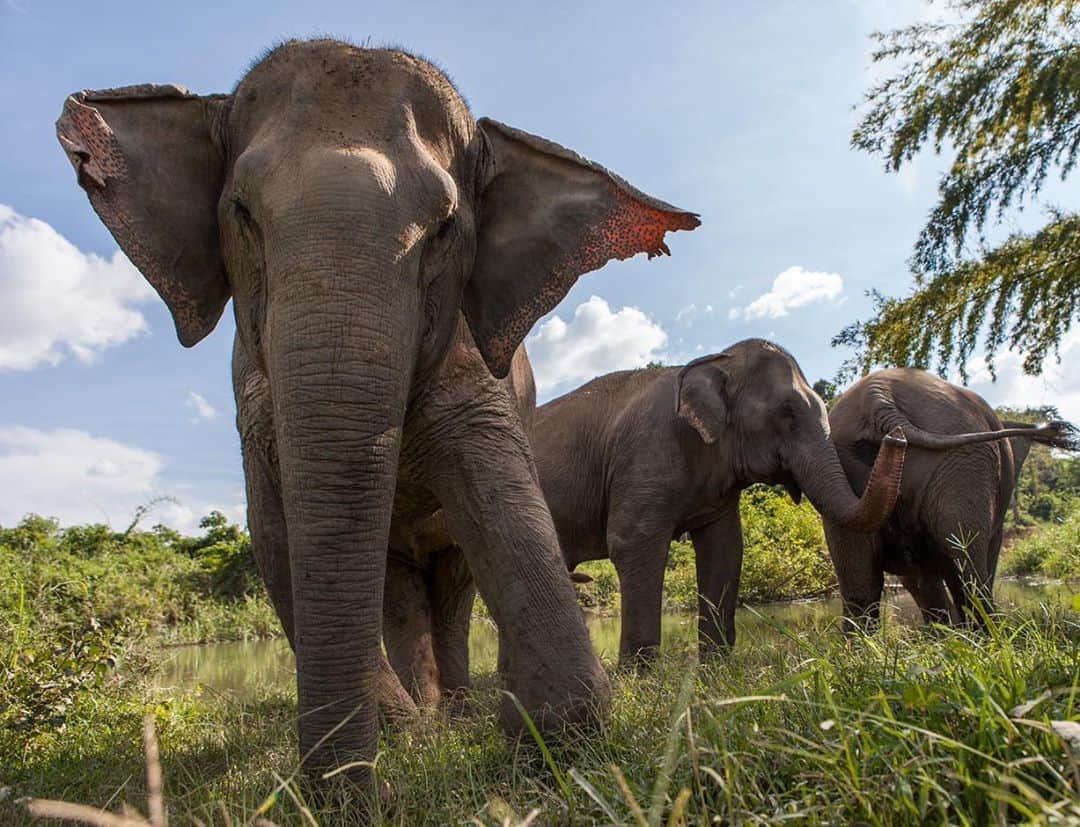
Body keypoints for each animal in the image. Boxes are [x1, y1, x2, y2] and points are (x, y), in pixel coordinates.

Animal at [56, 38, 699, 785]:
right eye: (241, 212)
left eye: (445, 228)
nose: (361, 797)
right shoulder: (251, 390)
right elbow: (274, 533)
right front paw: (409, 736)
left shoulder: (473, 362)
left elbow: (494, 485)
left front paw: (557, 740)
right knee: (399, 588)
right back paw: (428, 717)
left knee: (452, 585)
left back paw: (457, 715)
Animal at [382, 339, 911, 699]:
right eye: (786, 412)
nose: (897, 437)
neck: (713, 361)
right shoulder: (647, 453)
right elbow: (633, 541)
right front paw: (640, 676)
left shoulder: (716, 486)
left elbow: (725, 550)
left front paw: (716, 666)